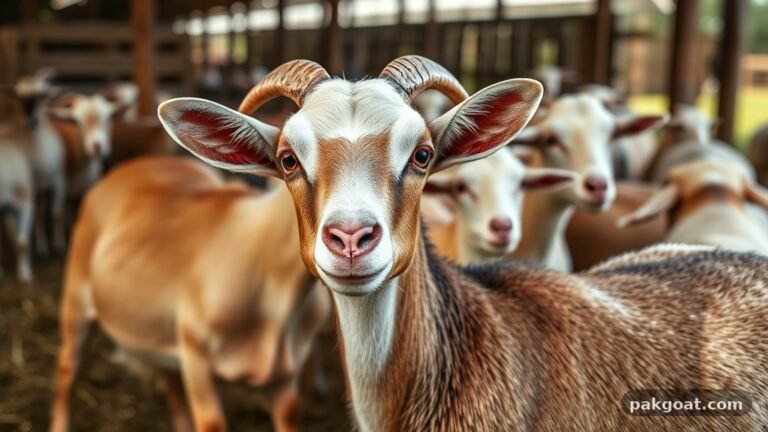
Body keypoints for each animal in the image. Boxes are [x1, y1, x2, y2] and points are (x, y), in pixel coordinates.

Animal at [50, 157, 331, 432]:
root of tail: (132, 165)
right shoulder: (197, 356)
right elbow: (211, 423)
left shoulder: (289, 368)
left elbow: (290, 414)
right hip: (76, 294)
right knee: (66, 365)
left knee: (170, 377)